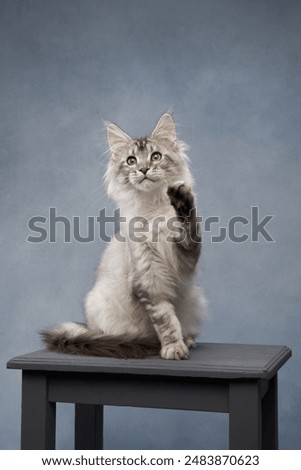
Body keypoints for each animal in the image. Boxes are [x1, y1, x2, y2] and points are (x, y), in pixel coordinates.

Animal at [42, 113, 206, 360]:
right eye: (131, 161)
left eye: (155, 156)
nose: (144, 169)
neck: (151, 210)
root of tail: (87, 326)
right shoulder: (148, 278)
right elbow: (165, 320)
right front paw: (172, 348)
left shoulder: (187, 255)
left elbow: (188, 224)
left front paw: (181, 199)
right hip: (98, 305)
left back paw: (188, 340)